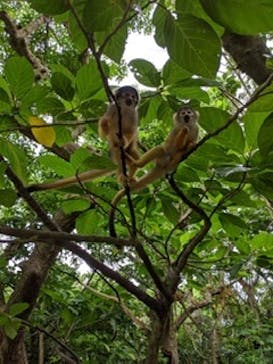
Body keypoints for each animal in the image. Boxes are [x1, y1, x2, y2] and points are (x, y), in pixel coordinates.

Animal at [109, 106, 200, 236]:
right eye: (183, 113)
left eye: (189, 112)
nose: (186, 116)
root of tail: (162, 167)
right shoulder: (176, 129)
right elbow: (177, 143)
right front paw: (184, 131)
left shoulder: (196, 129)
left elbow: (186, 145)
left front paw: (191, 144)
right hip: (160, 160)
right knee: (161, 149)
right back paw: (136, 164)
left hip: (170, 163)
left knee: (178, 153)